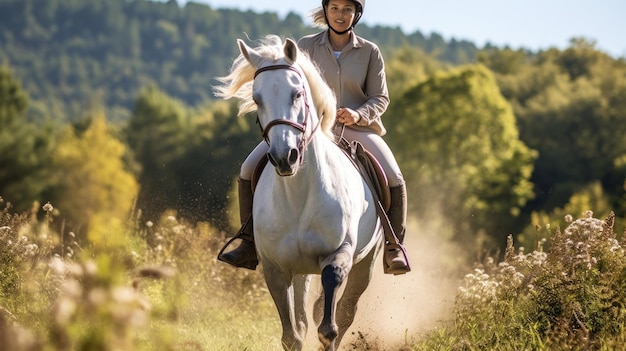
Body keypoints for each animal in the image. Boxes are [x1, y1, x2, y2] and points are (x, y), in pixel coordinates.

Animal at [213, 35, 380, 351]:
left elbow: (329, 327)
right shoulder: (276, 269)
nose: (284, 157)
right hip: (301, 270)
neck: (299, 195)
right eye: (256, 99)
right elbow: (292, 334)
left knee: (345, 312)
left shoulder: (338, 256)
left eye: (297, 94)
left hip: (366, 263)